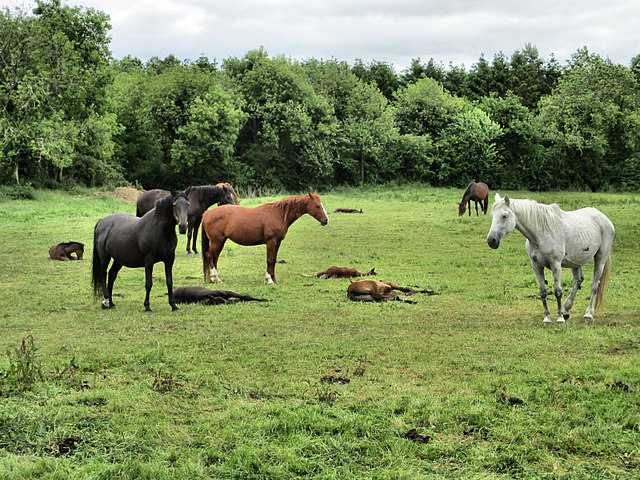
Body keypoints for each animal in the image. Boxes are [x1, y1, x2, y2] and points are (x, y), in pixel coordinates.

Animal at [201, 193, 332, 284]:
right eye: (317, 206)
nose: (326, 220)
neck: (278, 214)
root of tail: (207, 213)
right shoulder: (271, 241)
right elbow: (269, 260)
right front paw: (268, 280)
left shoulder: (278, 242)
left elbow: (273, 260)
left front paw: (274, 280)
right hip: (217, 241)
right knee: (209, 256)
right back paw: (214, 278)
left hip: (221, 241)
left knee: (214, 258)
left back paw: (215, 279)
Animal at [484, 193, 616, 324]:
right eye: (492, 215)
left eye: (504, 216)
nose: (491, 241)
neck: (541, 233)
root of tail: (605, 219)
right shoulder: (536, 266)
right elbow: (543, 292)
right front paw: (547, 317)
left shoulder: (556, 265)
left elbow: (557, 291)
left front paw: (560, 318)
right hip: (576, 262)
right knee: (578, 280)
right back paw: (566, 309)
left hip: (600, 258)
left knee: (595, 285)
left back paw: (588, 313)